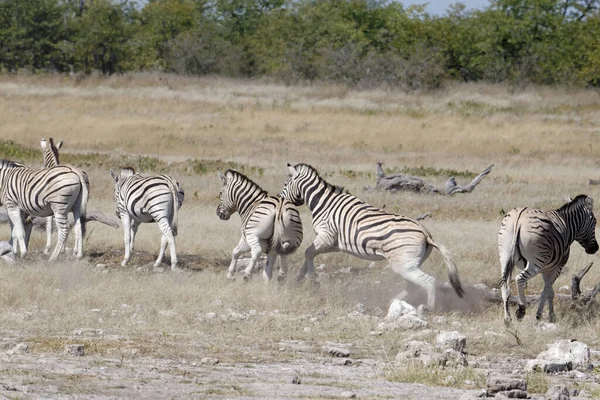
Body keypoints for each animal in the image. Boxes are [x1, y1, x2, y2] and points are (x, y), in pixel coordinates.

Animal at [278, 163, 466, 310]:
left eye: (286, 183)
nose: (279, 198)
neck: (323, 202)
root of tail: (426, 234)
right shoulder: (334, 244)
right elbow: (309, 254)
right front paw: (299, 279)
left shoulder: (327, 236)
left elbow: (308, 252)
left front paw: (313, 281)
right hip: (410, 263)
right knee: (413, 285)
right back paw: (392, 302)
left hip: (403, 264)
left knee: (428, 281)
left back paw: (429, 308)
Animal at [500, 195, 596, 326]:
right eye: (595, 222)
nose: (595, 248)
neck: (567, 224)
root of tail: (519, 218)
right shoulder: (557, 267)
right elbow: (546, 291)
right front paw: (539, 315)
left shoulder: (547, 269)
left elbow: (550, 291)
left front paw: (551, 316)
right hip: (536, 262)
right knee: (519, 279)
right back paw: (521, 309)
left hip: (504, 256)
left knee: (504, 284)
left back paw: (507, 319)